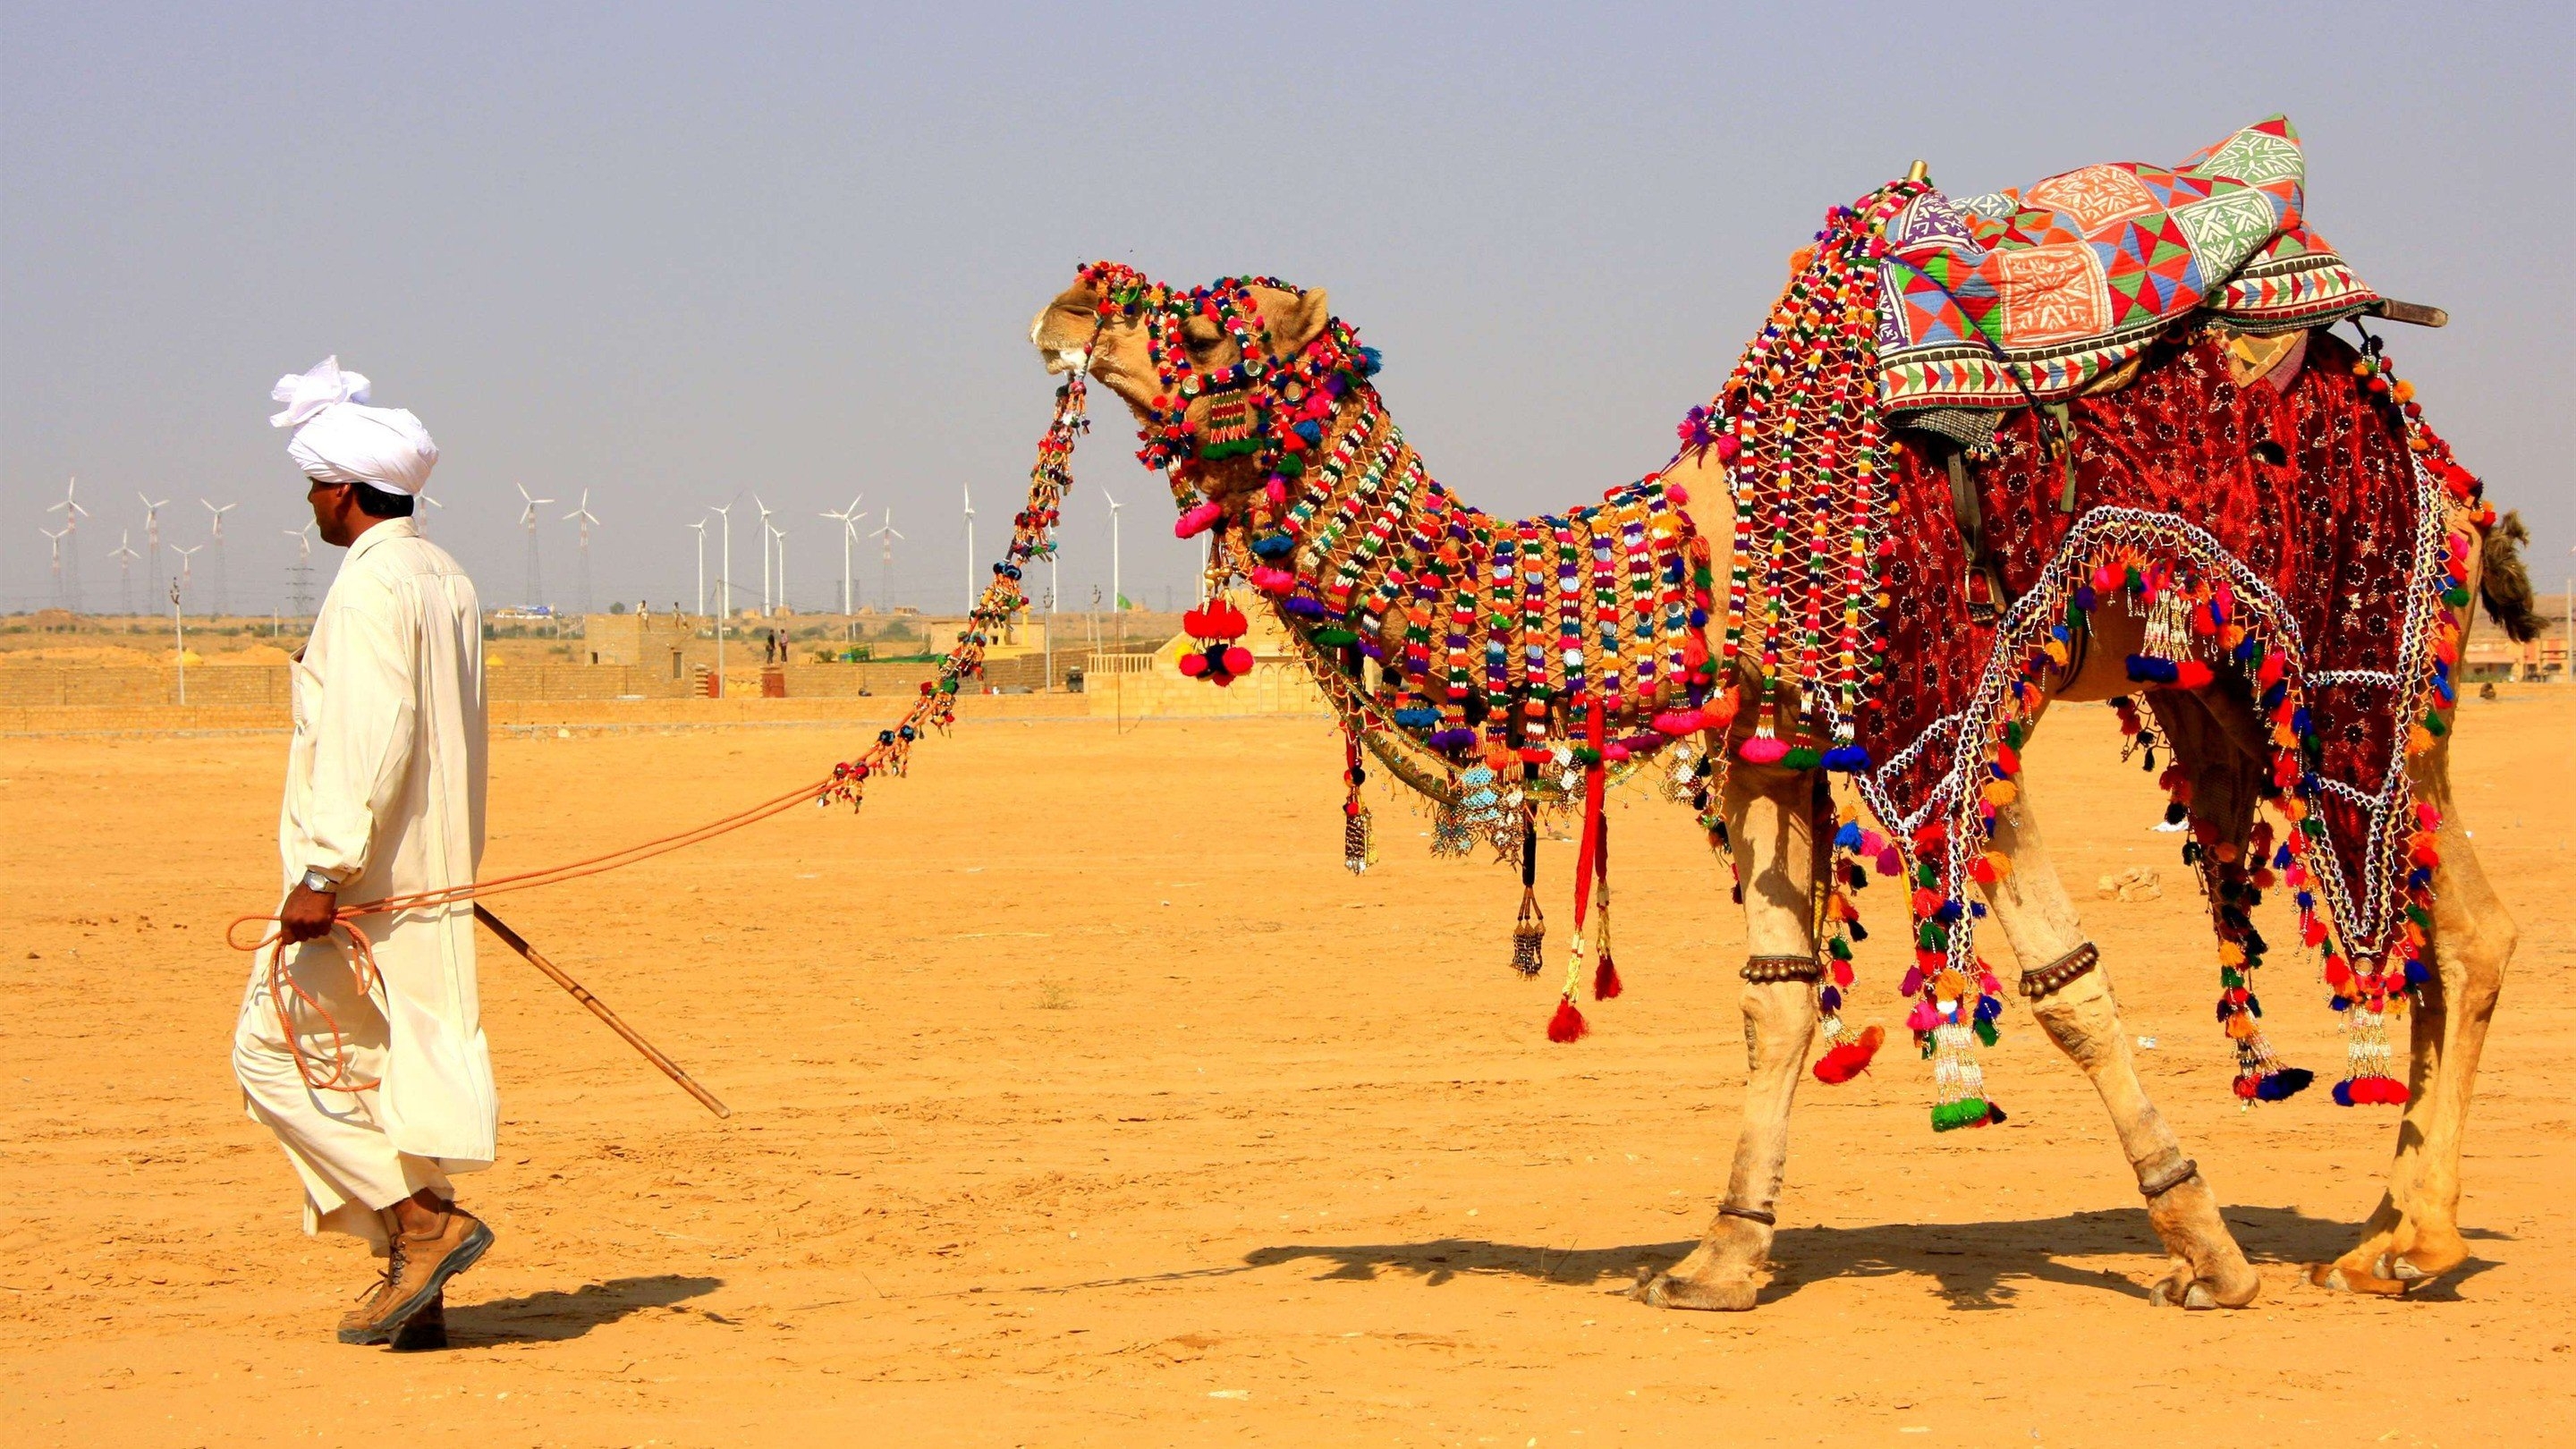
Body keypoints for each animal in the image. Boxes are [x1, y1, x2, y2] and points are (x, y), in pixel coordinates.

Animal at [999, 118, 2534, 1304]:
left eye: (1223, 315)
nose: (1070, 296)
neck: (1700, 555)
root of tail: (2452, 478)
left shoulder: (1947, 713)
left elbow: (2069, 990)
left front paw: (2206, 1252)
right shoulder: (1773, 750)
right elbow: (1778, 998)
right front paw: (1721, 1259)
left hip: (2361, 668)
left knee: (2460, 927)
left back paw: (2407, 1246)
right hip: (2243, 692)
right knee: (2422, 927)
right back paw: (2388, 1236)